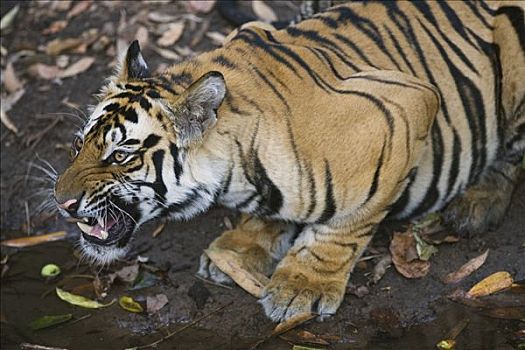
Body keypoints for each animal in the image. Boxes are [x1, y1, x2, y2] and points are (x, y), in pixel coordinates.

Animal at [54, 0, 524, 322]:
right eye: (78, 146)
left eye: (120, 156)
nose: (62, 203)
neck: (235, 170)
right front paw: (242, 246)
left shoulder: (407, 107)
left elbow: (347, 224)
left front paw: (302, 285)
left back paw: (478, 202)